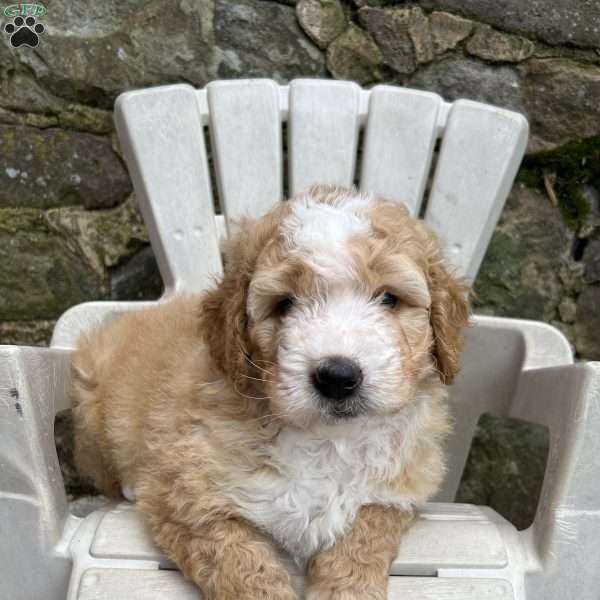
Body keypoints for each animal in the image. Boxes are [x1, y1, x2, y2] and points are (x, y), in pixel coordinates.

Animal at [72, 185, 472, 600]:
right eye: (284, 304)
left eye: (389, 298)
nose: (337, 376)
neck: (328, 441)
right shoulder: (183, 497)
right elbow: (242, 564)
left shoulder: (395, 494)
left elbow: (362, 541)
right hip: (90, 414)